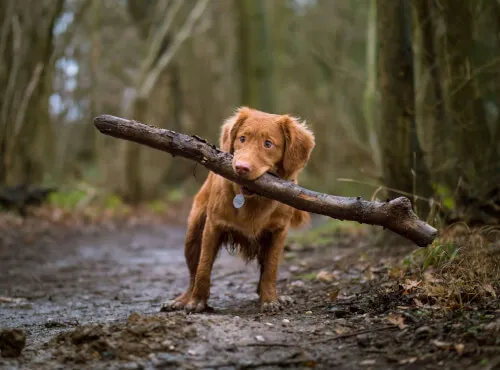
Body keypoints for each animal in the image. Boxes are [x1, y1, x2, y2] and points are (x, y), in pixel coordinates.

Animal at [162, 107, 314, 312]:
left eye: (268, 144)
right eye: (242, 138)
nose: (241, 168)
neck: (253, 199)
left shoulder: (279, 231)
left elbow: (271, 269)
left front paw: (270, 299)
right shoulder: (213, 226)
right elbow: (203, 267)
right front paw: (197, 302)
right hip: (193, 234)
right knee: (193, 273)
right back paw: (182, 300)